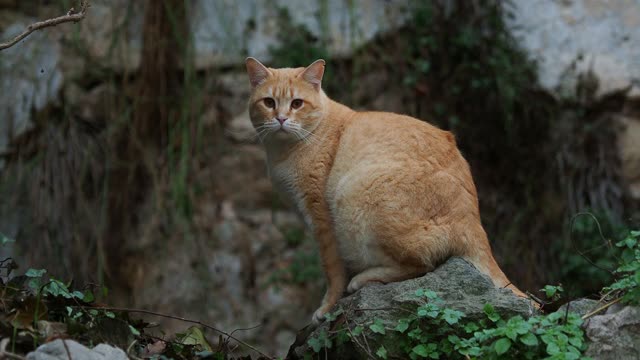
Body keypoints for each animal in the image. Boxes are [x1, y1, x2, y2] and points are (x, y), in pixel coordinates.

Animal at [244, 57, 524, 324]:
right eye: (269, 102)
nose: (281, 119)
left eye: (297, 104)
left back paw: (362, 279)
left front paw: (326, 307)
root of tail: (473, 221)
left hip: (355, 194)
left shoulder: (322, 219)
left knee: (420, 265)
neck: (285, 150)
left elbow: (333, 272)